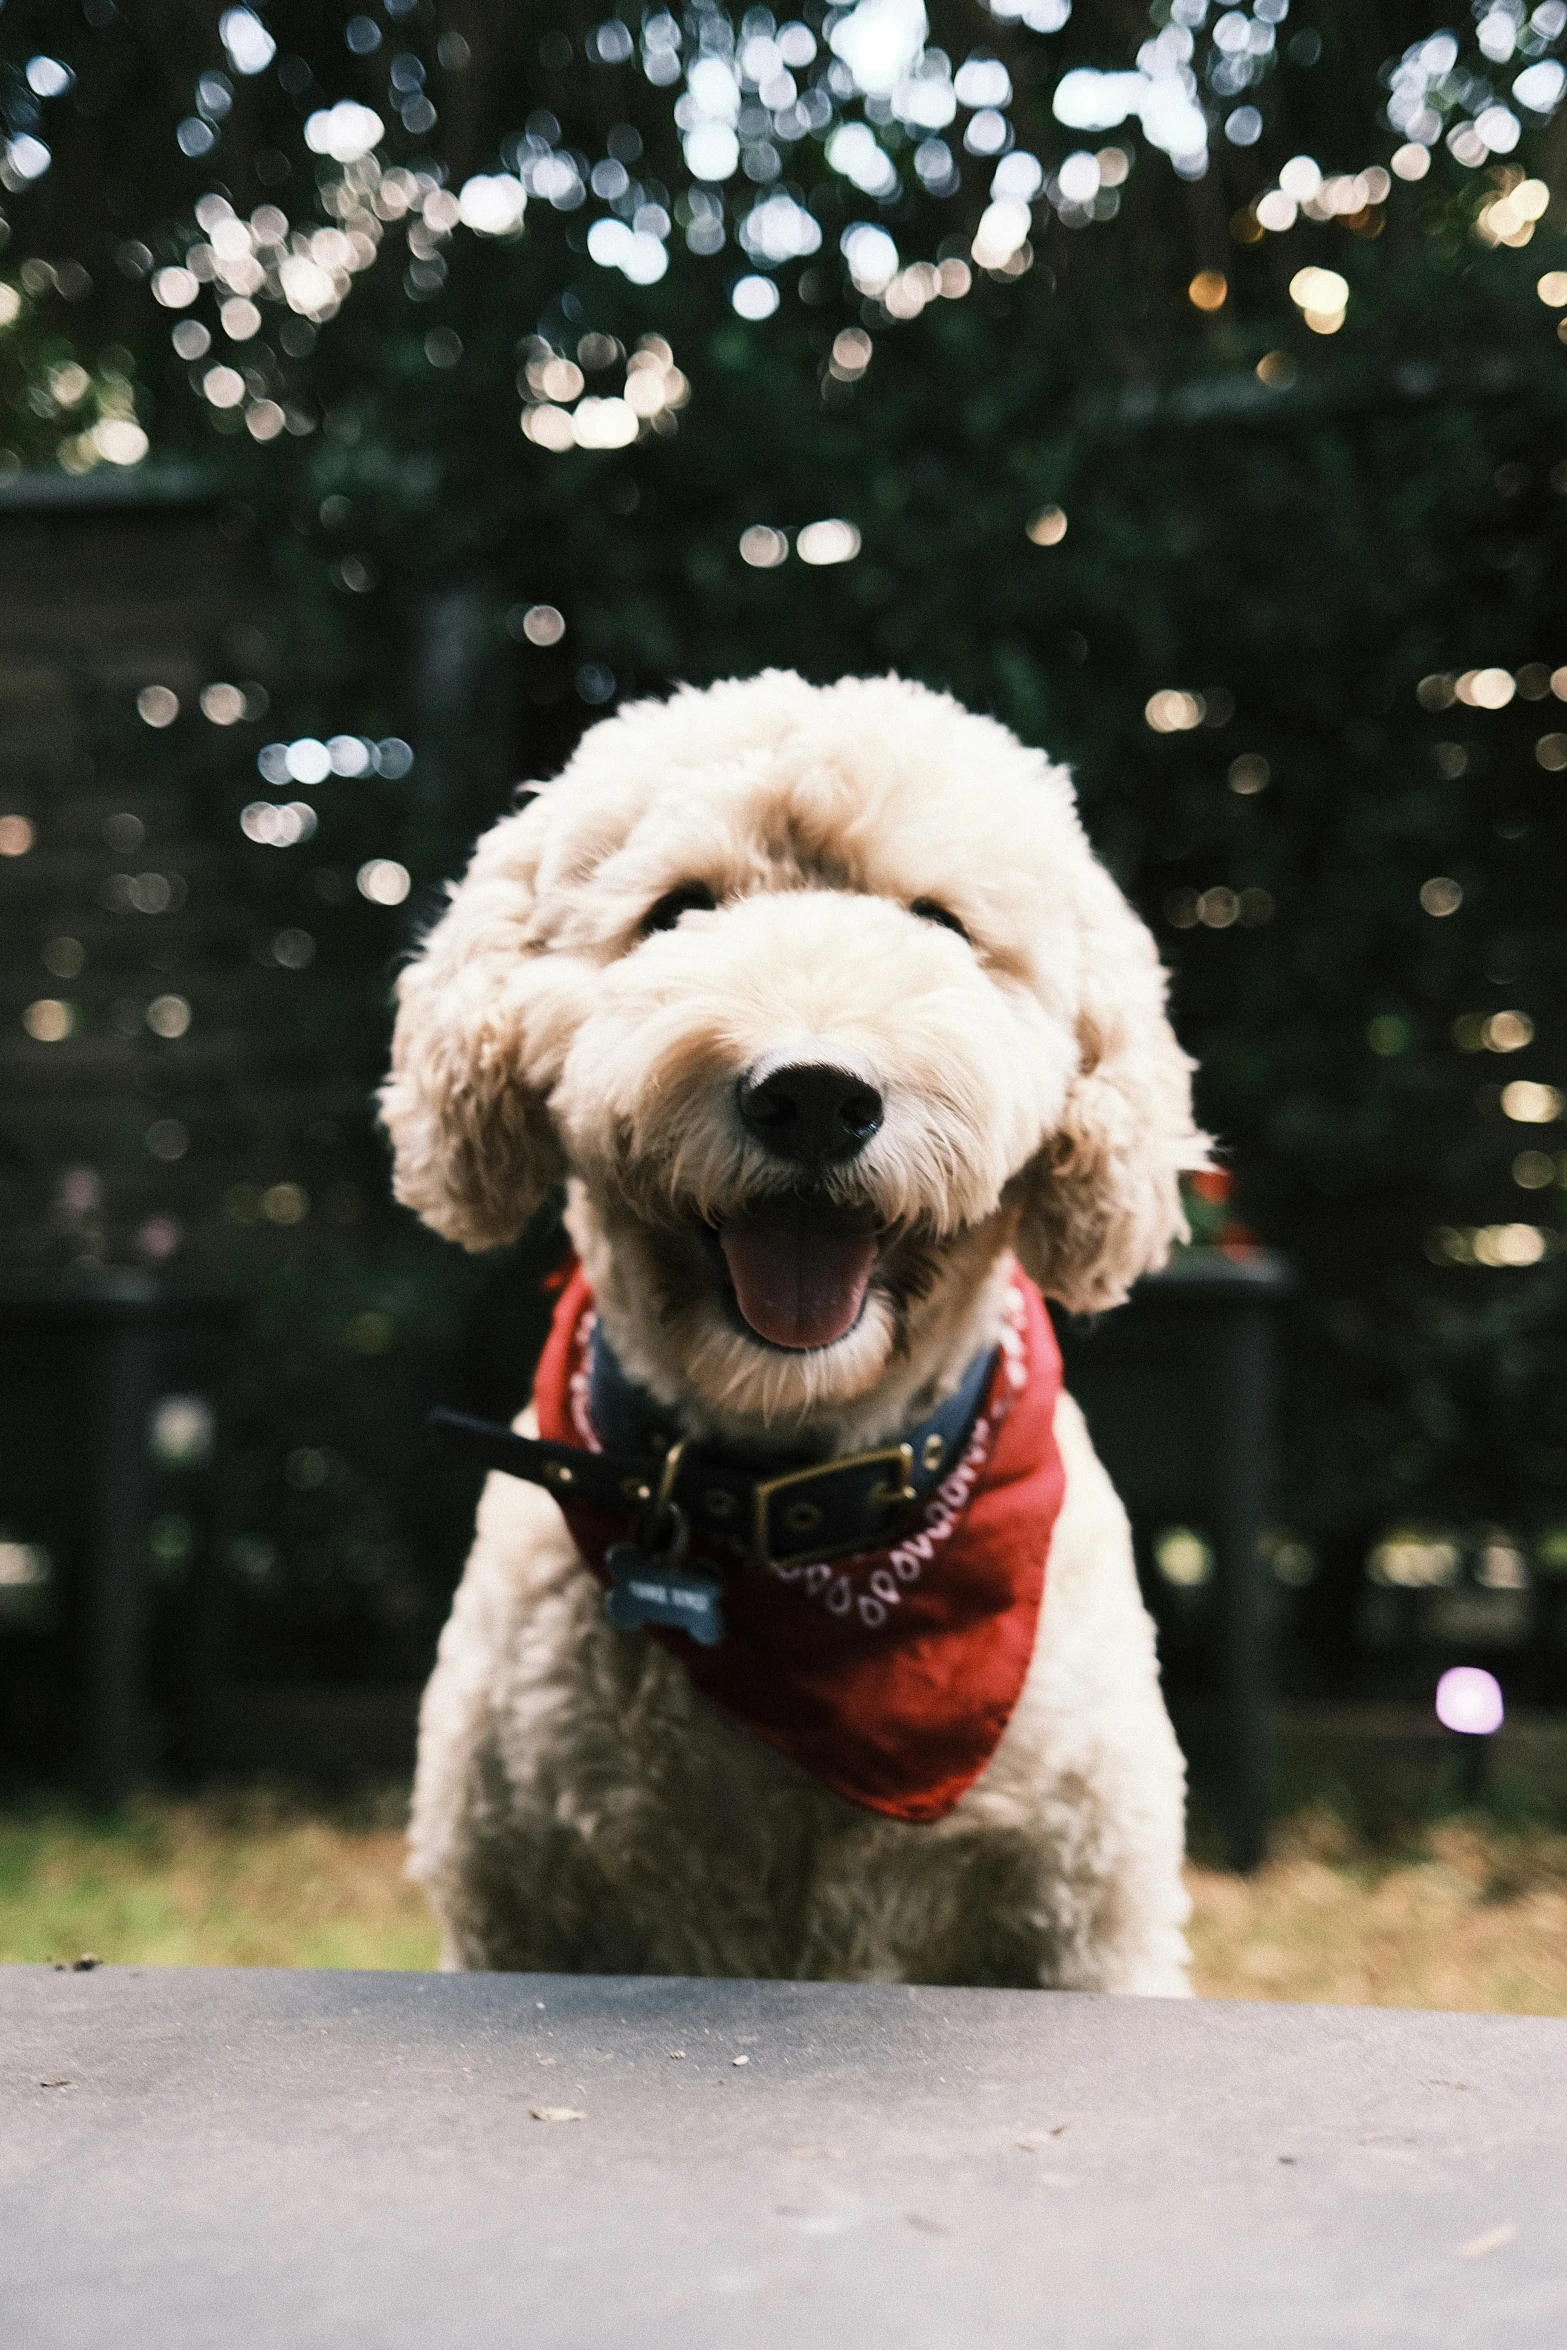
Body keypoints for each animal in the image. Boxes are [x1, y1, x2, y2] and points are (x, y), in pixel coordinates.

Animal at [385, 672, 1212, 1992]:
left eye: (940, 922)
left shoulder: (1093, 1921)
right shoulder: (515, 1910)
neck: (797, 1515)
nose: (815, 1094)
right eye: (675, 910)